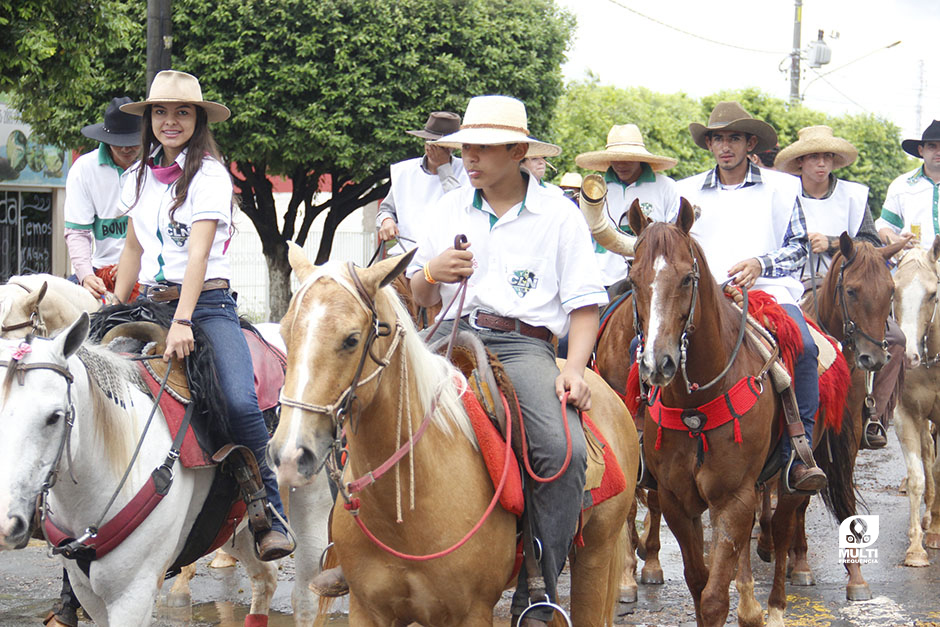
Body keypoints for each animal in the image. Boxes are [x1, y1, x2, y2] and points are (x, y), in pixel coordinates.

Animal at [0, 316, 280, 624]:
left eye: (55, 416)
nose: (6, 524)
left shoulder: (134, 594)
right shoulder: (86, 590)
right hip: (235, 529)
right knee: (265, 579)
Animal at [272, 245, 640, 627]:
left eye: (351, 340)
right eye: (285, 334)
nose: (290, 455)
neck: (406, 509)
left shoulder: (471, 612)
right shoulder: (368, 610)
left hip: (595, 553)